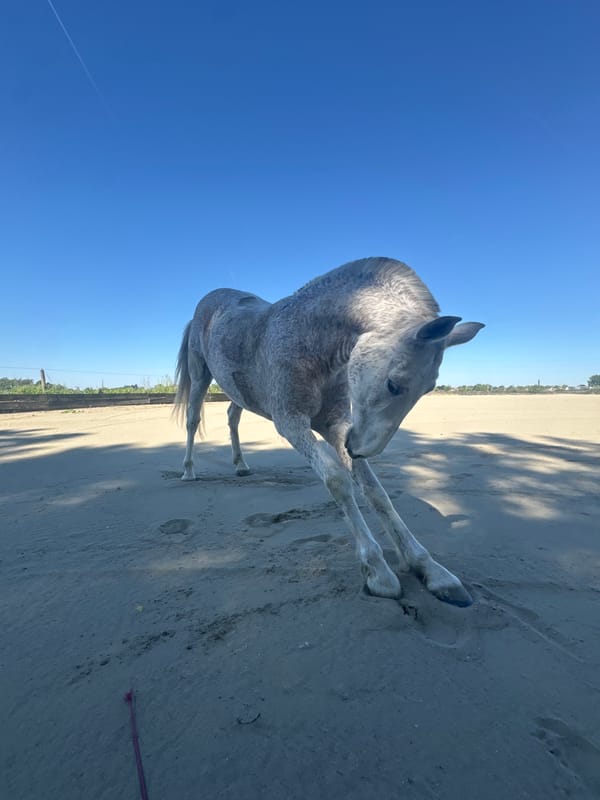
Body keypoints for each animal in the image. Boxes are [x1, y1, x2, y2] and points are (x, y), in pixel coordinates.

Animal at [174, 257, 484, 606]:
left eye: (429, 388)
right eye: (394, 384)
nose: (358, 448)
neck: (310, 342)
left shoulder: (336, 424)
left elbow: (375, 491)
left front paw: (429, 568)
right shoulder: (292, 423)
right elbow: (337, 480)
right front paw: (378, 571)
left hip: (238, 390)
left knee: (232, 416)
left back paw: (241, 465)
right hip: (200, 376)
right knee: (192, 420)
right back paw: (189, 471)